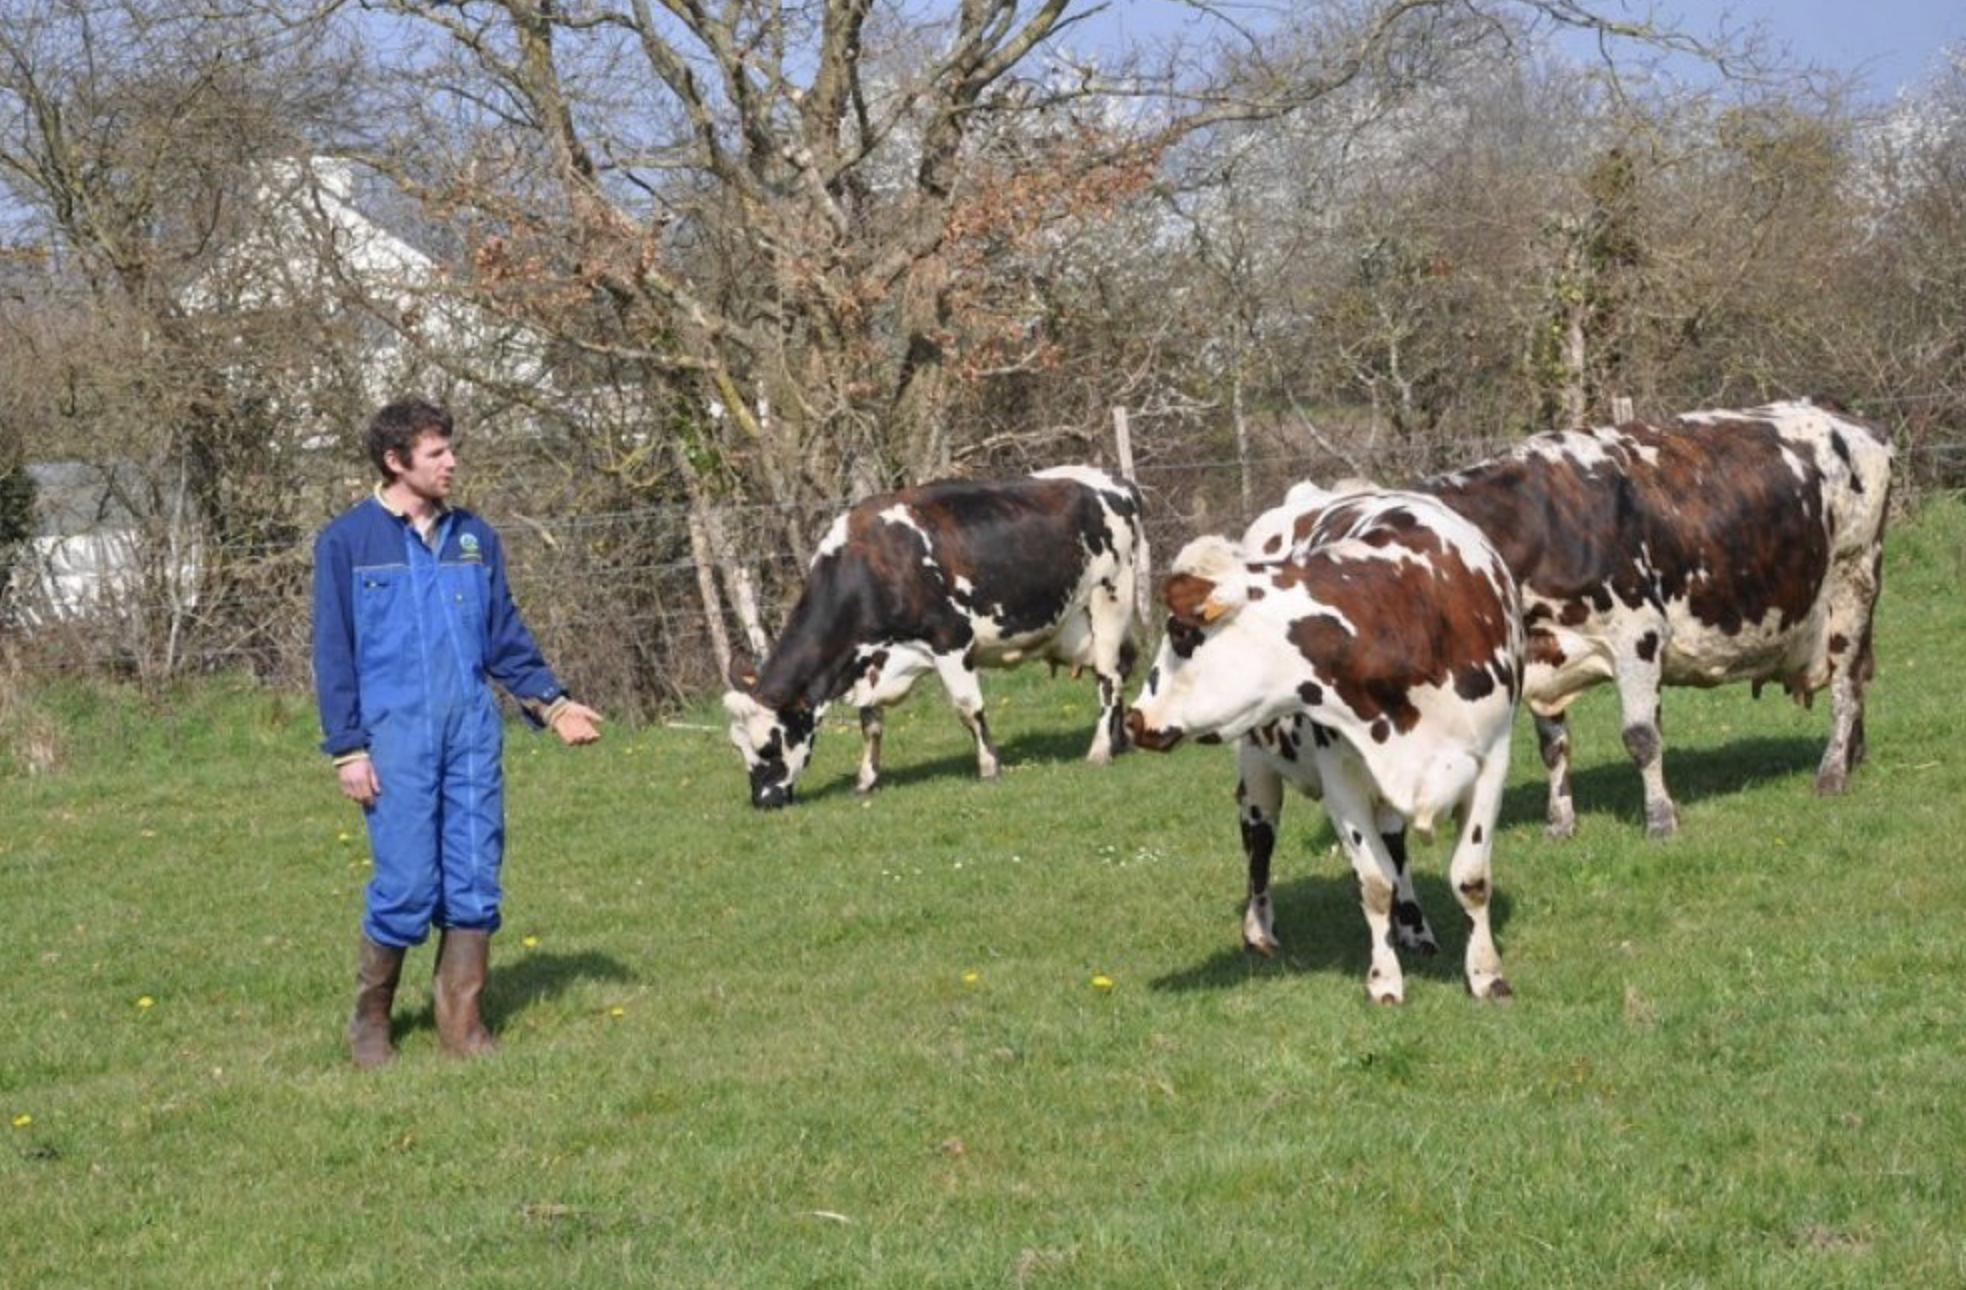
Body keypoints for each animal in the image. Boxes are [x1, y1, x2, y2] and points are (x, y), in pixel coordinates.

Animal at [727, 464, 1148, 806]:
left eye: (769, 745)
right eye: (737, 745)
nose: (763, 802)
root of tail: (1117, 482)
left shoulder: (951, 641)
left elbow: (968, 708)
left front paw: (989, 766)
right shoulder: (872, 663)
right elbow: (870, 723)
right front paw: (866, 780)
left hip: (1110, 598)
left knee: (1108, 678)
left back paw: (1099, 751)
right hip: (1076, 625)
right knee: (1121, 667)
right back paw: (1119, 742)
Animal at [1124, 489, 1517, 1002]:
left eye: (1181, 633)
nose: (1133, 718)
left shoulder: (1494, 758)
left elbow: (1469, 879)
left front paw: (1486, 975)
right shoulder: (1340, 777)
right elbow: (1373, 884)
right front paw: (1384, 980)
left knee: (1395, 845)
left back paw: (1414, 929)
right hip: (1257, 768)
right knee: (1259, 843)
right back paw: (1259, 929)